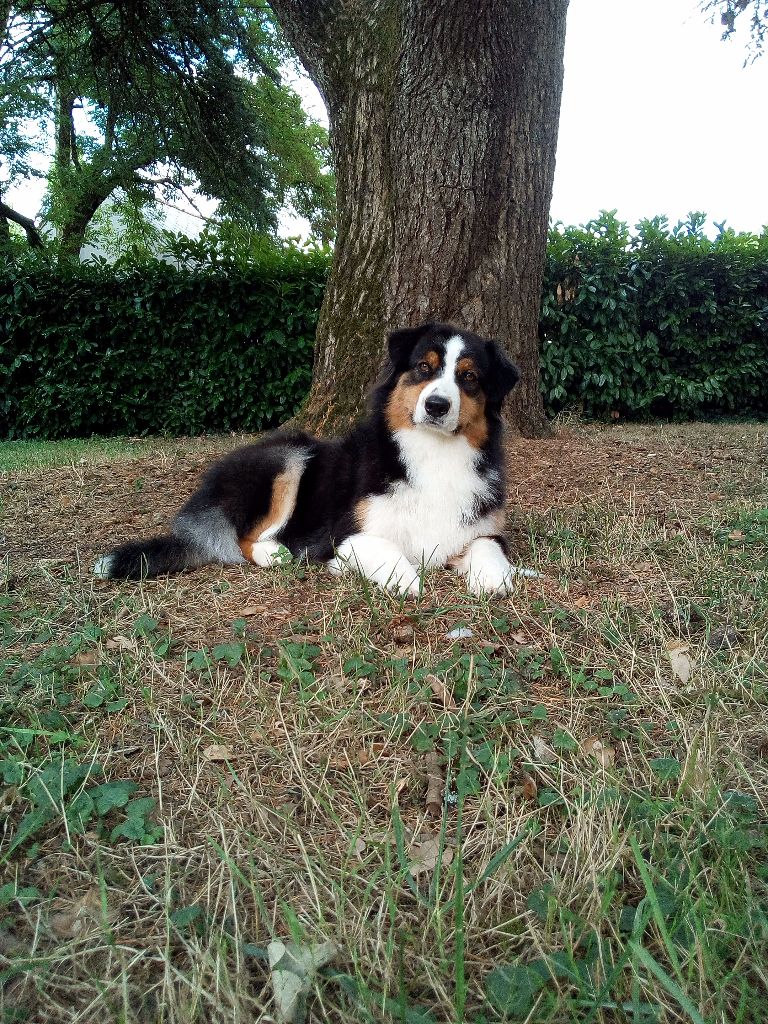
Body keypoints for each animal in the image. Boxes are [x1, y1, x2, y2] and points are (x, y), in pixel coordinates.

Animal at [94, 322, 532, 596]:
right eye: (424, 367)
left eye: (469, 377)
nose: (437, 406)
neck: (433, 452)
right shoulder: (342, 536)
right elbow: (385, 548)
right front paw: (406, 581)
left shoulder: (481, 529)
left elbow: (488, 547)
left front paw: (496, 580)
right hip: (287, 456)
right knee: (239, 538)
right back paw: (275, 554)